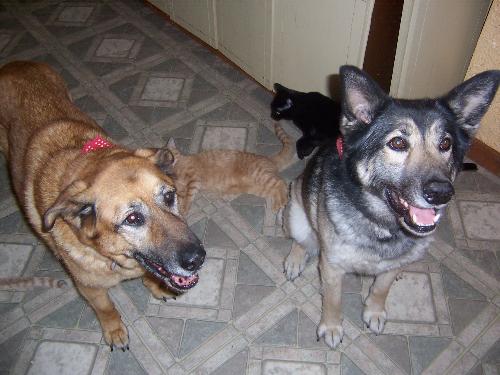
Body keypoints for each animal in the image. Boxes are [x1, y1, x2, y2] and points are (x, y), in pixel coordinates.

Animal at [0, 60, 205, 352]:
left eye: (169, 196)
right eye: (132, 219)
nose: (198, 259)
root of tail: (14, 64)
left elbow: (151, 273)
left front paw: (155, 286)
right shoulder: (89, 287)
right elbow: (106, 308)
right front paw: (114, 330)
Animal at [286, 65, 500, 350]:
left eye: (445, 144)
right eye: (397, 143)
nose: (441, 193)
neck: (384, 226)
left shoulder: (391, 265)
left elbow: (381, 288)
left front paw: (374, 311)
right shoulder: (332, 267)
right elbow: (333, 301)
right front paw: (331, 326)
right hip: (297, 212)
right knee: (303, 239)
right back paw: (295, 258)